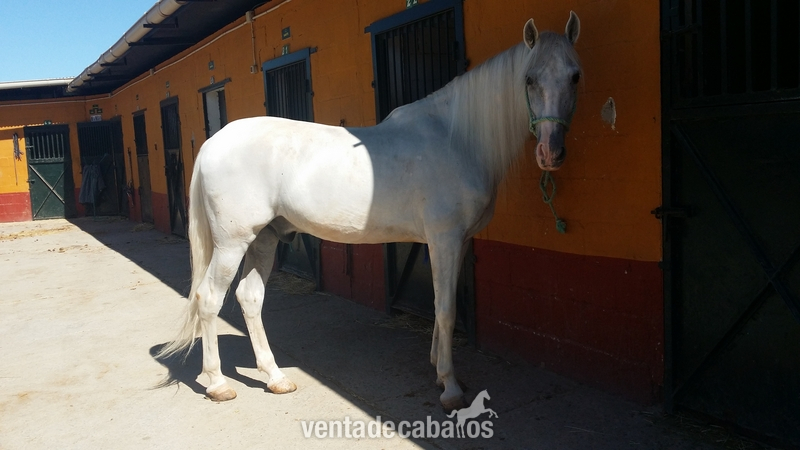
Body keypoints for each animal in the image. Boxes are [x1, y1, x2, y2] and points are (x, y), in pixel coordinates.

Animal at [158, 11, 582, 410]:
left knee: (249, 298)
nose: (551, 153)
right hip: (233, 243)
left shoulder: (457, 241)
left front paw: (437, 368)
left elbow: (441, 307)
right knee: (209, 300)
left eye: (575, 76)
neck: (456, 137)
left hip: (265, 238)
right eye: (529, 79)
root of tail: (213, 142)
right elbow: (445, 309)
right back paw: (217, 384)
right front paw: (451, 388)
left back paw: (275, 377)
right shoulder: (444, 240)